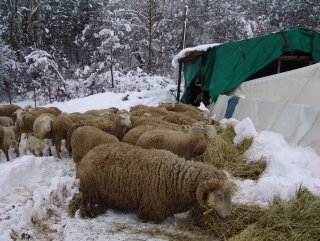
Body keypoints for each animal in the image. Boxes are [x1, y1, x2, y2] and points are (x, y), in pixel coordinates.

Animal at [68, 141, 232, 222]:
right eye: (219, 195)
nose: (228, 216)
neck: (176, 179)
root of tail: (86, 156)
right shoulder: (151, 210)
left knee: (77, 199)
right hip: (92, 191)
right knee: (84, 203)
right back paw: (88, 213)